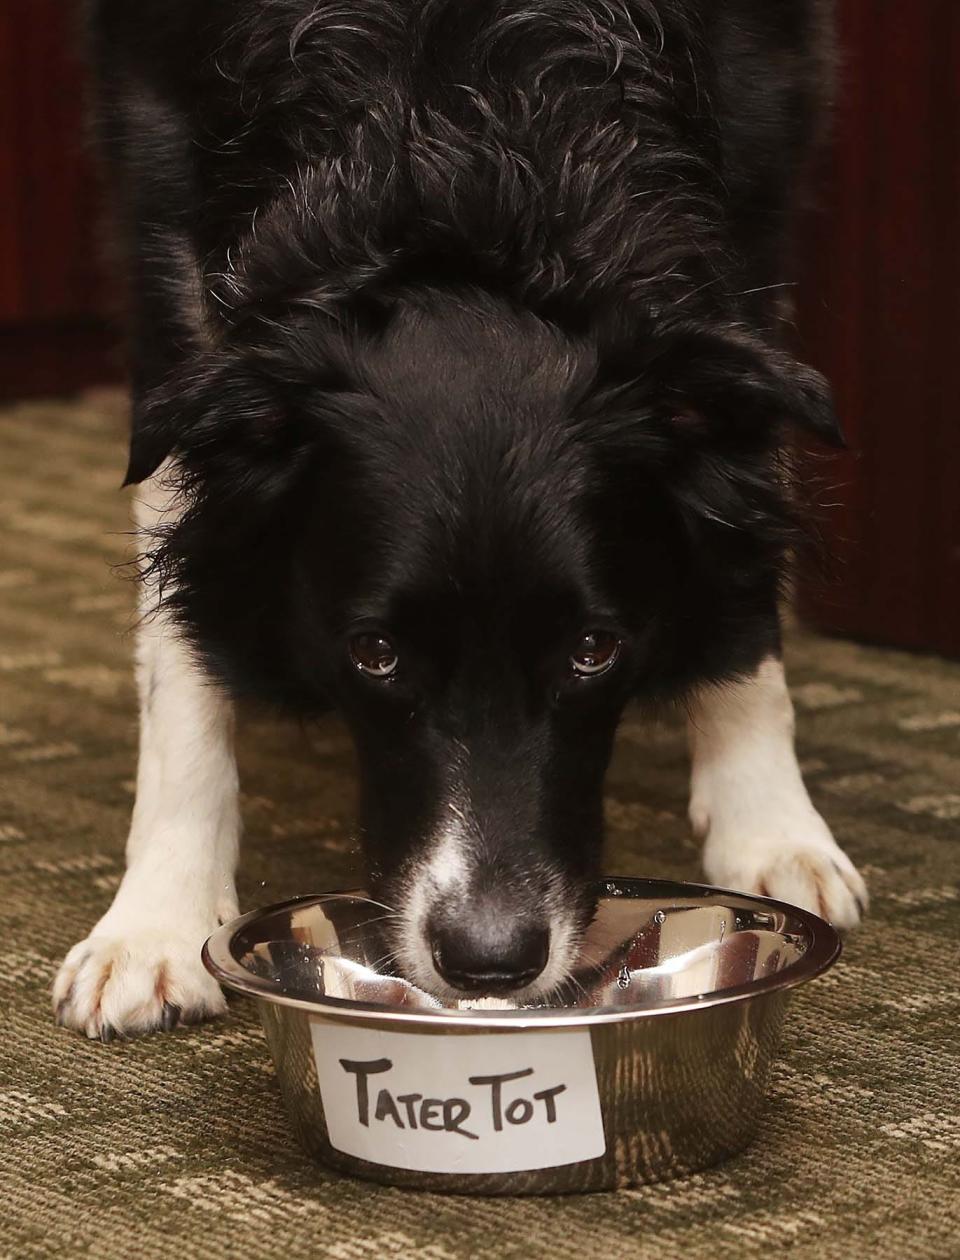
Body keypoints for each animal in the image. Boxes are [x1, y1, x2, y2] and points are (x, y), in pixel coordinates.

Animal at [52, 2, 861, 1043]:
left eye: (594, 650)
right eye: (375, 654)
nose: (490, 962)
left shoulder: (755, 162)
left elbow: (745, 553)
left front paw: (769, 822)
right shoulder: (164, 224)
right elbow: (181, 627)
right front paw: (156, 918)